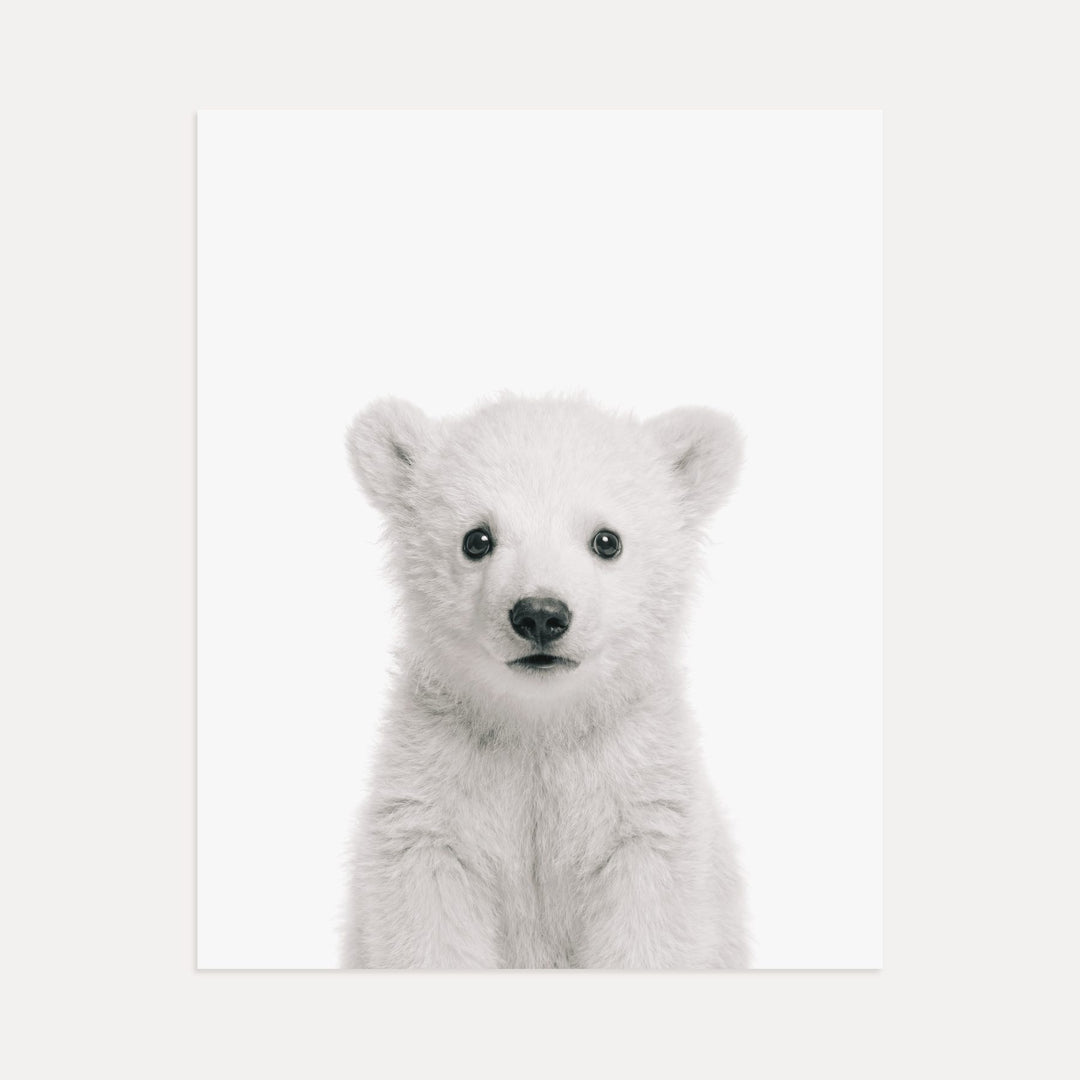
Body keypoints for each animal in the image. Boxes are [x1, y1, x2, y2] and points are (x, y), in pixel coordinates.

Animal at [340, 394, 748, 969]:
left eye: (607, 540)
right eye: (476, 538)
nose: (540, 614)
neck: (539, 727)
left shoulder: (642, 804)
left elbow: (649, 926)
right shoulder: (432, 798)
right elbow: (429, 923)